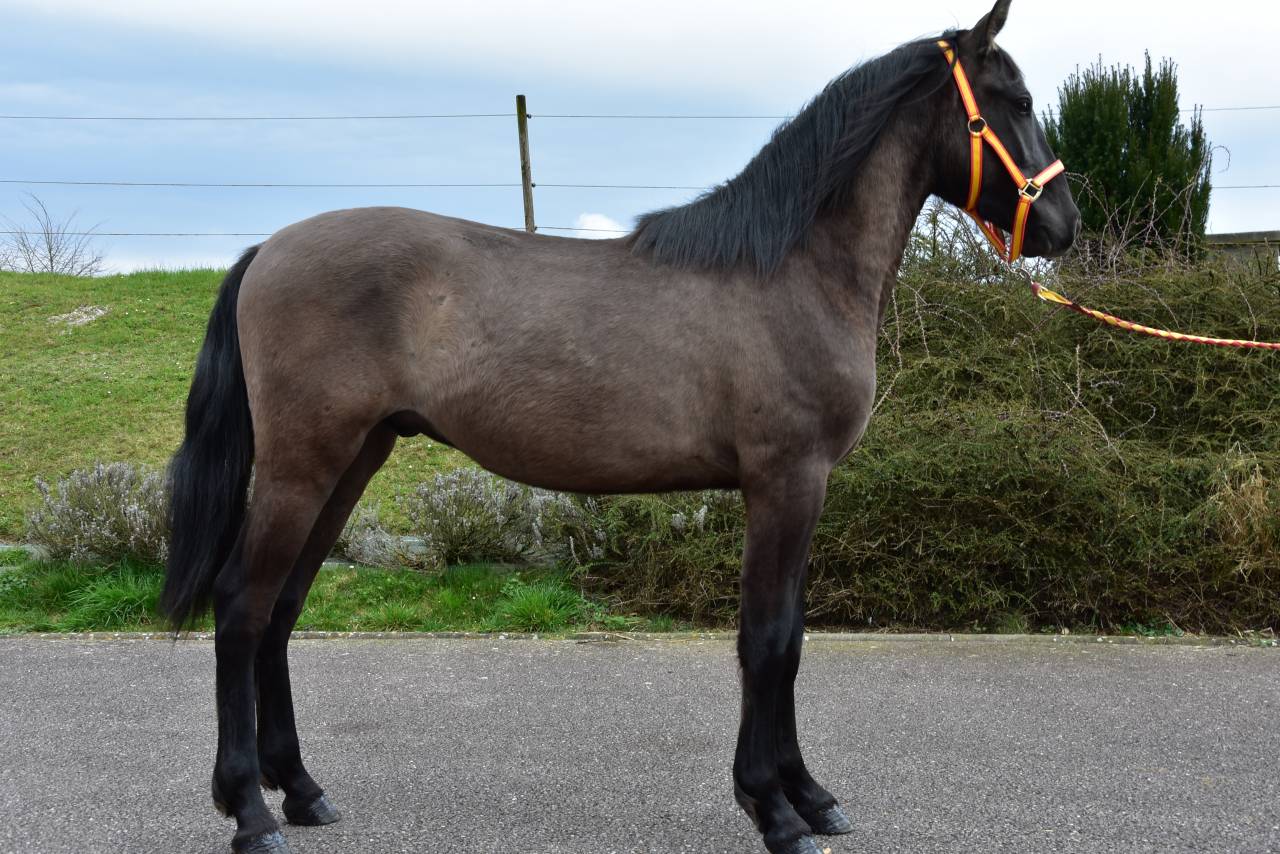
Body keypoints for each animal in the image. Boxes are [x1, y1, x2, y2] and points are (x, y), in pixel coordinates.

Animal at [161, 2, 1079, 851]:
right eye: (1017, 101)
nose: (1065, 224)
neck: (793, 268)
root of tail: (268, 251)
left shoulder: (798, 489)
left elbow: (788, 639)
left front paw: (808, 795)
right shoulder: (786, 480)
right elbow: (767, 641)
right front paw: (775, 809)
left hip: (353, 459)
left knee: (282, 607)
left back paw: (301, 791)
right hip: (303, 464)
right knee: (242, 605)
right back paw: (249, 812)